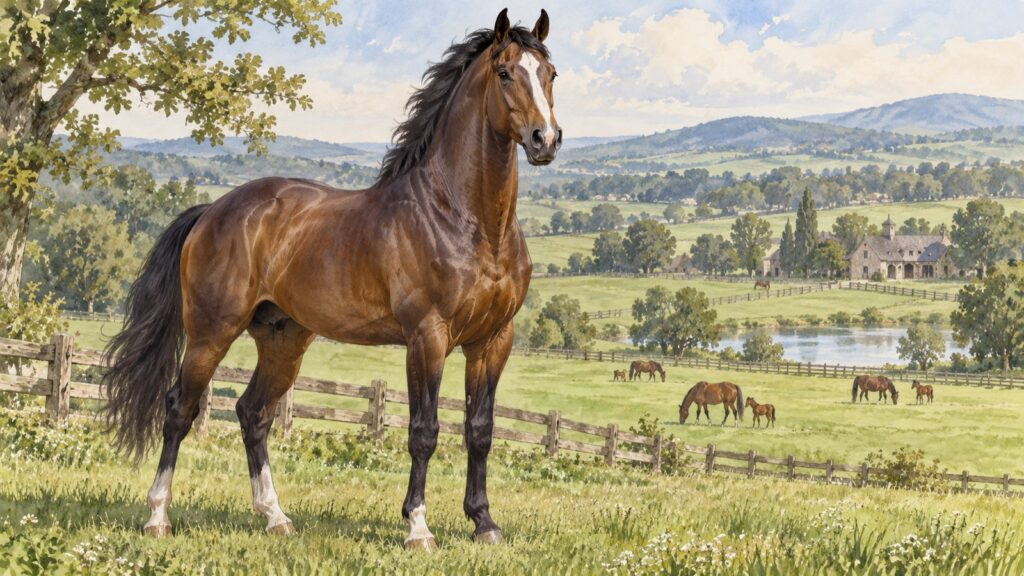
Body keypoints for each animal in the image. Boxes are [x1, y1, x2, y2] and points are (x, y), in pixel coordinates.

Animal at [101, 10, 560, 552]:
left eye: (550, 74)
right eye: (506, 72)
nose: (545, 139)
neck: (463, 219)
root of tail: (212, 211)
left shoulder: (492, 341)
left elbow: (481, 429)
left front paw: (484, 522)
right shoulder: (427, 337)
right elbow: (423, 430)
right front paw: (418, 527)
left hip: (283, 341)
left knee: (252, 414)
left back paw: (275, 517)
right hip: (211, 333)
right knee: (179, 409)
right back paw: (158, 517)